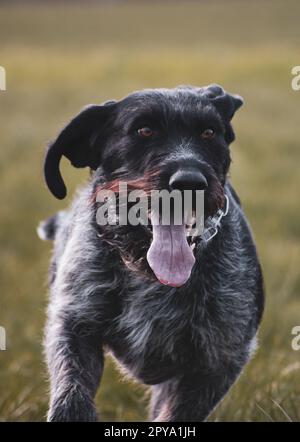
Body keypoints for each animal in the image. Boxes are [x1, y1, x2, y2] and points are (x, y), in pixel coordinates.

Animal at [38, 85, 264, 422]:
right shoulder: (74, 324)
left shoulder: (219, 359)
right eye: (144, 130)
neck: (149, 274)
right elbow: (72, 389)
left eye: (209, 132)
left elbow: (178, 411)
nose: (189, 182)